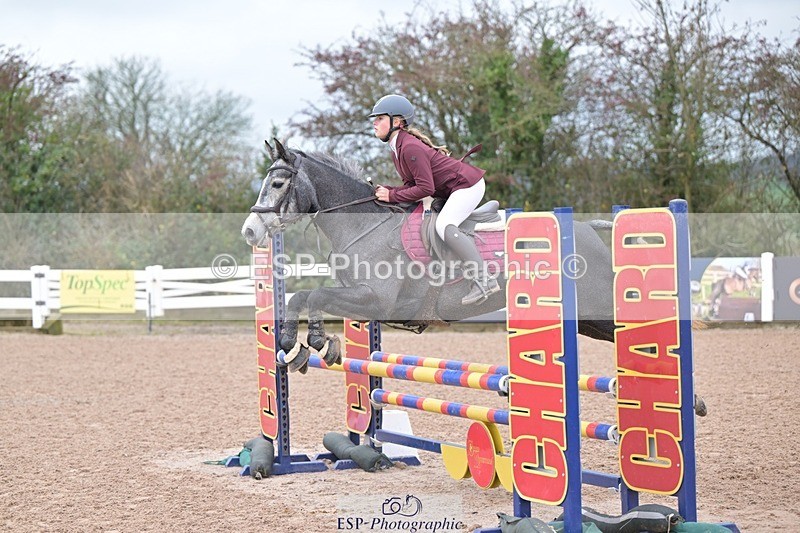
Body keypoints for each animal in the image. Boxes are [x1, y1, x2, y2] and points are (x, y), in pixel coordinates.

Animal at [241, 139, 616, 372]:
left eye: (277, 184)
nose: (250, 231)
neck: (364, 225)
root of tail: (588, 230)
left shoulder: (376, 300)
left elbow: (315, 294)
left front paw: (315, 340)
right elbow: (302, 295)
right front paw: (297, 346)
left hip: (598, 308)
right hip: (584, 320)